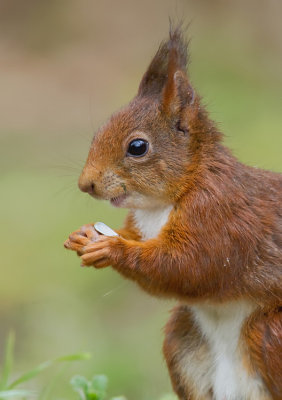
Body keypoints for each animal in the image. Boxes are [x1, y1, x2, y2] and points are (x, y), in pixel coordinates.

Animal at [64, 26, 282, 398]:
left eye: (137, 147)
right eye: (98, 132)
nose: (86, 185)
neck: (160, 206)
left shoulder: (220, 216)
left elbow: (188, 267)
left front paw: (112, 248)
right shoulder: (140, 224)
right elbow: (140, 241)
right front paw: (83, 235)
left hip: (271, 335)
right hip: (182, 337)